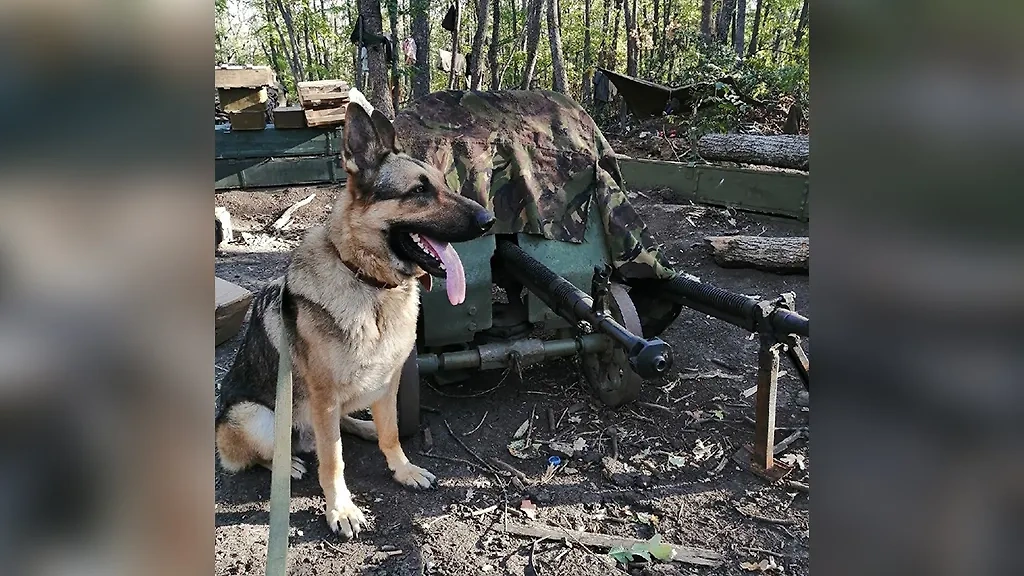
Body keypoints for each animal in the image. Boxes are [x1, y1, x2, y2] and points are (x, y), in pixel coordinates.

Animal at [216, 99, 495, 537]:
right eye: (419, 191)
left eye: (443, 184)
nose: (489, 221)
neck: (369, 283)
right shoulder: (324, 398)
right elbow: (333, 461)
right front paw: (341, 509)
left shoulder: (388, 381)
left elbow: (391, 432)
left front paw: (402, 469)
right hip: (256, 416)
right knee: (275, 450)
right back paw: (288, 462)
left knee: (338, 428)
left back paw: (361, 427)